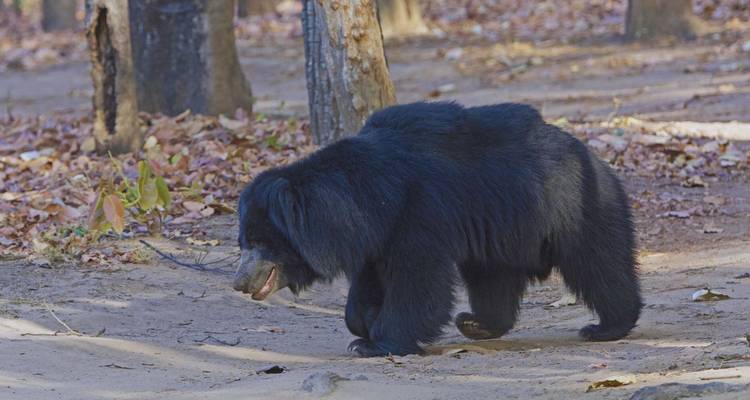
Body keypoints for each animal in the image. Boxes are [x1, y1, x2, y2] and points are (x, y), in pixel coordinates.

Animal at [233, 102, 642, 357]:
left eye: (259, 241)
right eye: (243, 242)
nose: (239, 282)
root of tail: (593, 155)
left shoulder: (418, 212)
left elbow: (418, 280)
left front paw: (375, 343)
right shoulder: (378, 235)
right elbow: (368, 284)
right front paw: (363, 324)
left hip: (572, 206)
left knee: (598, 263)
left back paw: (606, 327)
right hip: (501, 230)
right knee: (493, 279)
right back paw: (476, 324)